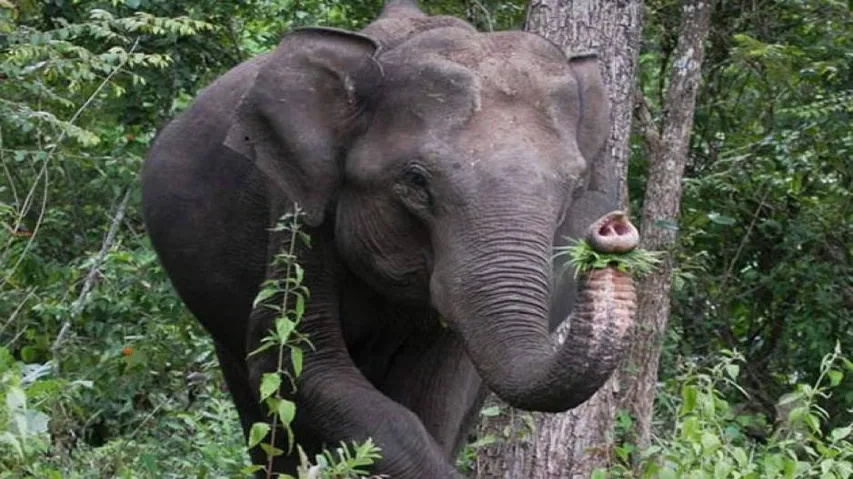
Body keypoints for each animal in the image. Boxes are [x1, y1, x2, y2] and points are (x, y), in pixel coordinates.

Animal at [141, 1, 639, 477]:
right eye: (416, 181)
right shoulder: (295, 207)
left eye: (575, 187)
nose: (612, 231)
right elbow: (295, 359)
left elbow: (439, 395)